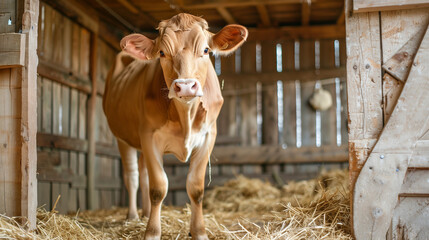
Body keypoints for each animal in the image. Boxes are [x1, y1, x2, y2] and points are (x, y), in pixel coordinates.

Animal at [101, 13, 246, 240]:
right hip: (122, 138)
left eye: (206, 50)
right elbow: (158, 188)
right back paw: (132, 217)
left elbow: (195, 188)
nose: (185, 86)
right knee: (132, 176)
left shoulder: (208, 137)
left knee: (143, 172)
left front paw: (199, 232)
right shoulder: (149, 137)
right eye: (162, 52)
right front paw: (152, 233)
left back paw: (145, 213)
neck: (185, 115)